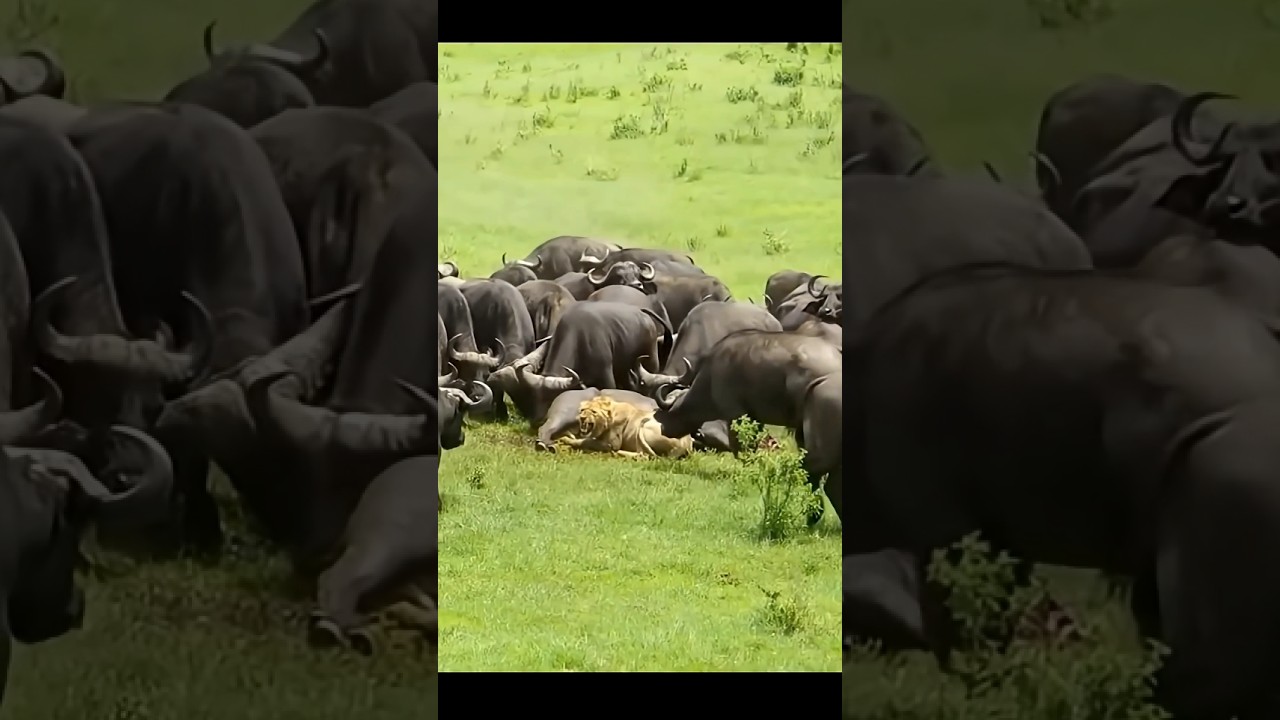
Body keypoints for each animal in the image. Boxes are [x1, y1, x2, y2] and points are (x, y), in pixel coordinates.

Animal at [557, 395, 694, 459]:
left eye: (594, 412)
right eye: (582, 410)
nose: (582, 418)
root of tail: (686, 444)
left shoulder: (611, 444)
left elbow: (586, 441)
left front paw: (567, 439)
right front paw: (570, 435)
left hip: (644, 426)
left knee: (644, 456)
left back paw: (619, 453)